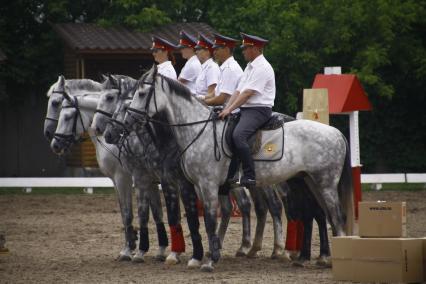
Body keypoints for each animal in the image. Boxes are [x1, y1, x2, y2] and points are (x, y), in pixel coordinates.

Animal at [122, 65, 352, 272]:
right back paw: (313, 259)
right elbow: (204, 221)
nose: (126, 122)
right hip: (307, 181)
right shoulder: (198, 186)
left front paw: (209, 261)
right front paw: (201, 257)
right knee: (321, 214)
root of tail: (336, 133)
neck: (198, 130)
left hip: (324, 183)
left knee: (335, 216)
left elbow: (209, 221)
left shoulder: (207, 185)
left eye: (142, 94)